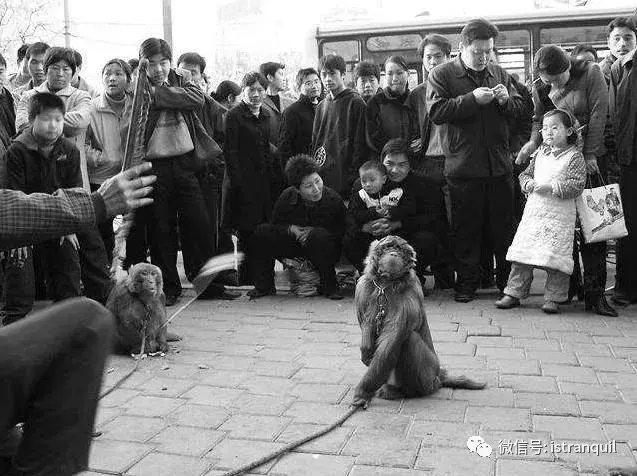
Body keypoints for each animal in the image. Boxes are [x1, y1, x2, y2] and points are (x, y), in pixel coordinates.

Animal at [352, 236, 482, 408]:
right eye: (387, 247)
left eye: (400, 249)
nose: (393, 253)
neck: (386, 285)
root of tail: (439, 374)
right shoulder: (363, 288)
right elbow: (367, 322)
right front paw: (366, 346)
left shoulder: (409, 296)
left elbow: (391, 341)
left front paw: (363, 392)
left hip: (428, 378)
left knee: (410, 340)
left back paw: (404, 392)